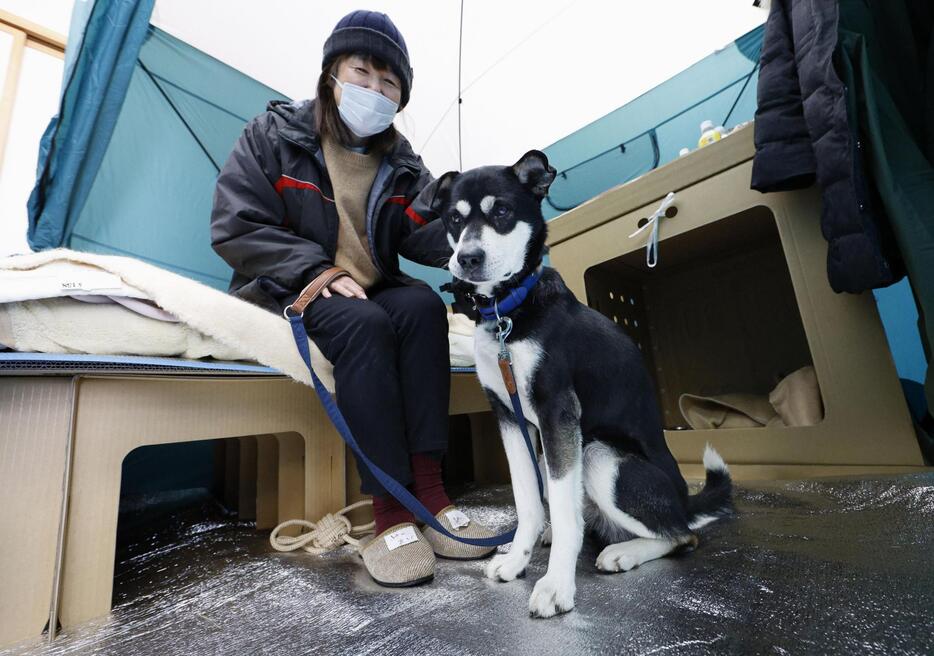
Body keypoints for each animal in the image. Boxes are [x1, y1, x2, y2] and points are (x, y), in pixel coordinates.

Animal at [428, 150, 736, 620]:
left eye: (501, 212)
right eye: (454, 219)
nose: (468, 258)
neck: (509, 310)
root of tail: (684, 500)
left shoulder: (557, 411)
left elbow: (563, 514)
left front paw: (556, 584)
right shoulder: (510, 418)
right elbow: (528, 502)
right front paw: (518, 559)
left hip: (598, 455)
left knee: (683, 535)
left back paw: (624, 552)